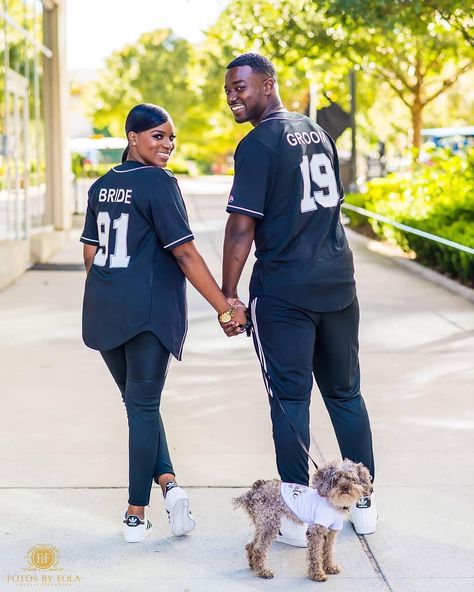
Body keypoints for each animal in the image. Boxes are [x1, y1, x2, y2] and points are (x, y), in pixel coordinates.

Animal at [235, 460, 372, 580]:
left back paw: (254, 566)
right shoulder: (316, 531)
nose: (345, 487)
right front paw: (317, 574)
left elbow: (328, 551)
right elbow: (315, 554)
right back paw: (262, 571)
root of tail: (254, 490)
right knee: (259, 548)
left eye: (351, 478)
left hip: (262, 522)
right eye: (336, 479)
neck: (333, 503)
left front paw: (329, 567)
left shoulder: (331, 531)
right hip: (270, 523)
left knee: (251, 544)